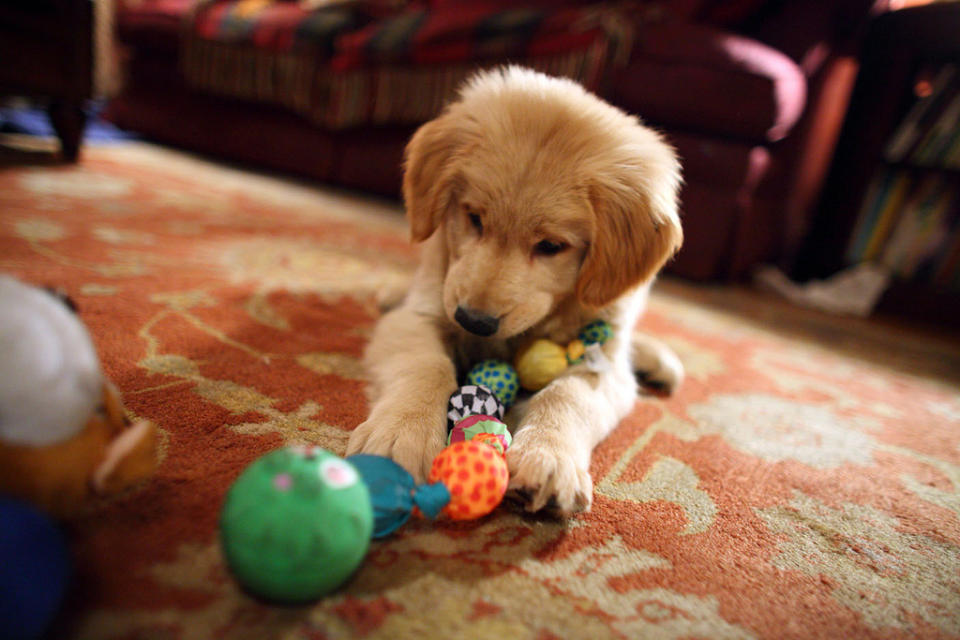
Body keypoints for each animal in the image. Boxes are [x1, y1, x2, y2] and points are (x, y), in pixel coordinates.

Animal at [348, 66, 688, 516]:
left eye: (551, 246)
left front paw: (549, 456)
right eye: (474, 218)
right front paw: (400, 435)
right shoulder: (421, 314)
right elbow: (427, 365)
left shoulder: (604, 365)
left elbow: (566, 395)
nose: (473, 321)